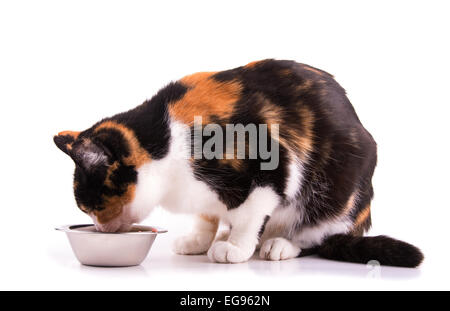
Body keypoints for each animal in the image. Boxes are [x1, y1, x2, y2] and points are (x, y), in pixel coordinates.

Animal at [54, 59, 424, 268]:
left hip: (339, 191)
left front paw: (235, 247)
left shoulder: (272, 163)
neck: (165, 139)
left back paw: (280, 244)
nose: (100, 229)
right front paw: (201, 239)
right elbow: (206, 215)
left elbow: (250, 213)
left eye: (91, 206)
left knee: (317, 234)